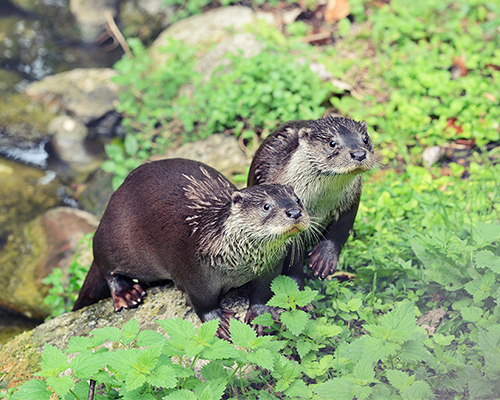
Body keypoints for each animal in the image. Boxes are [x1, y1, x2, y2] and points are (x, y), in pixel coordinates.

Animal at [73, 158, 308, 340]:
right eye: (266, 206)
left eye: (298, 200)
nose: (295, 212)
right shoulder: (194, 276)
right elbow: (202, 303)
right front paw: (220, 322)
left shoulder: (269, 267)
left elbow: (262, 292)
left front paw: (260, 316)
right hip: (112, 237)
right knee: (103, 263)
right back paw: (127, 293)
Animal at [246, 115, 376, 288]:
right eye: (332, 143)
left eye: (365, 139)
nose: (359, 154)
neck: (320, 203)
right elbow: (291, 259)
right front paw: (295, 285)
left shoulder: (351, 200)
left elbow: (341, 229)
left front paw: (324, 258)